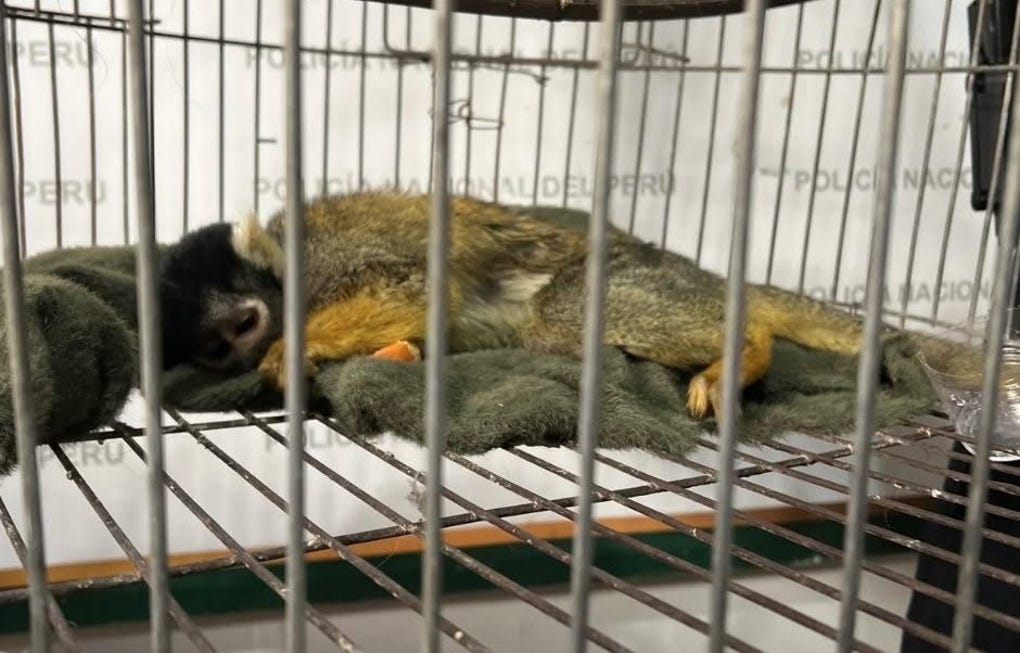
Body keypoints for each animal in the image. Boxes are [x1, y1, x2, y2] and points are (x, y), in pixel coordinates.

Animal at [158, 190, 875, 422]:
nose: (248, 349)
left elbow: (415, 287)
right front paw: (401, 351)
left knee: (563, 319)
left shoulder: (326, 258)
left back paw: (746, 347)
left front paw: (288, 351)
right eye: (218, 348)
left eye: (246, 324)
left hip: (626, 276)